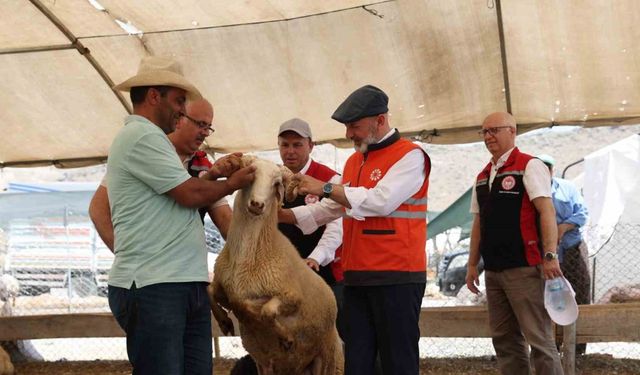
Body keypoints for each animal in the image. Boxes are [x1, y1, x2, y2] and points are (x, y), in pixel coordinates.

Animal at [209, 156, 340, 375]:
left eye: (276, 184)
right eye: (250, 175)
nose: (257, 204)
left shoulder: (291, 296)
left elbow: (265, 310)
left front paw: (285, 337)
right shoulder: (225, 287)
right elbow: (210, 292)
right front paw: (225, 322)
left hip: (326, 359)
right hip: (267, 366)